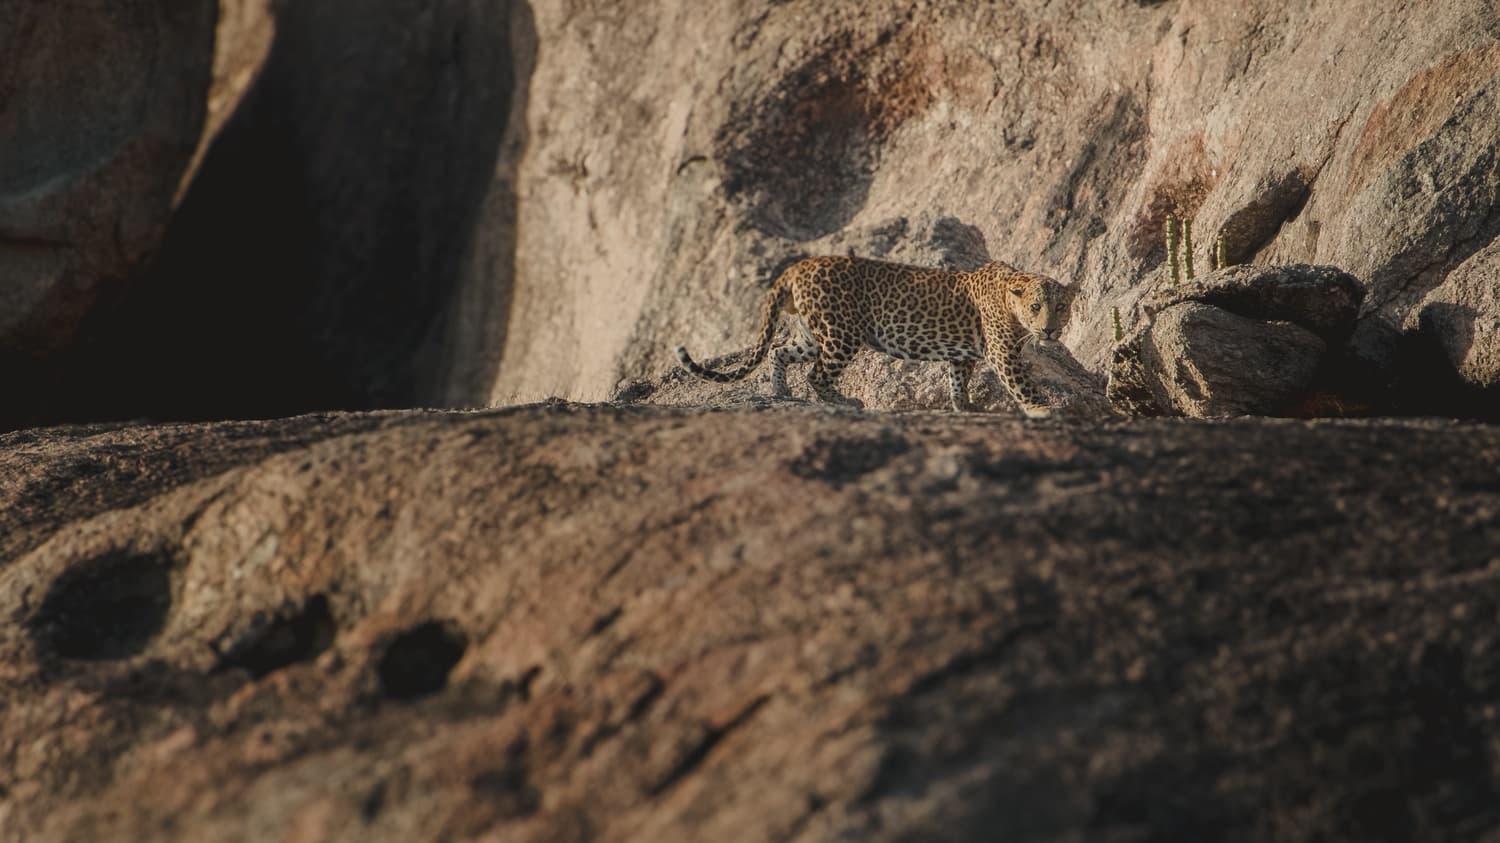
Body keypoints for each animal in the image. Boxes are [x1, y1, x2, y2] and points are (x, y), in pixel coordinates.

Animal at [675, 256, 1076, 417]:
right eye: (1037, 307)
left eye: (1061, 307)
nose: (1050, 330)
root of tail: (798, 266)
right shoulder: (1002, 352)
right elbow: (1022, 383)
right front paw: (1044, 408)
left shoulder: (962, 356)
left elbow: (957, 381)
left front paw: (965, 407)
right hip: (841, 332)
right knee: (817, 375)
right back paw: (844, 401)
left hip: (813, 333)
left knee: (779, 350)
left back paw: (781, 392)